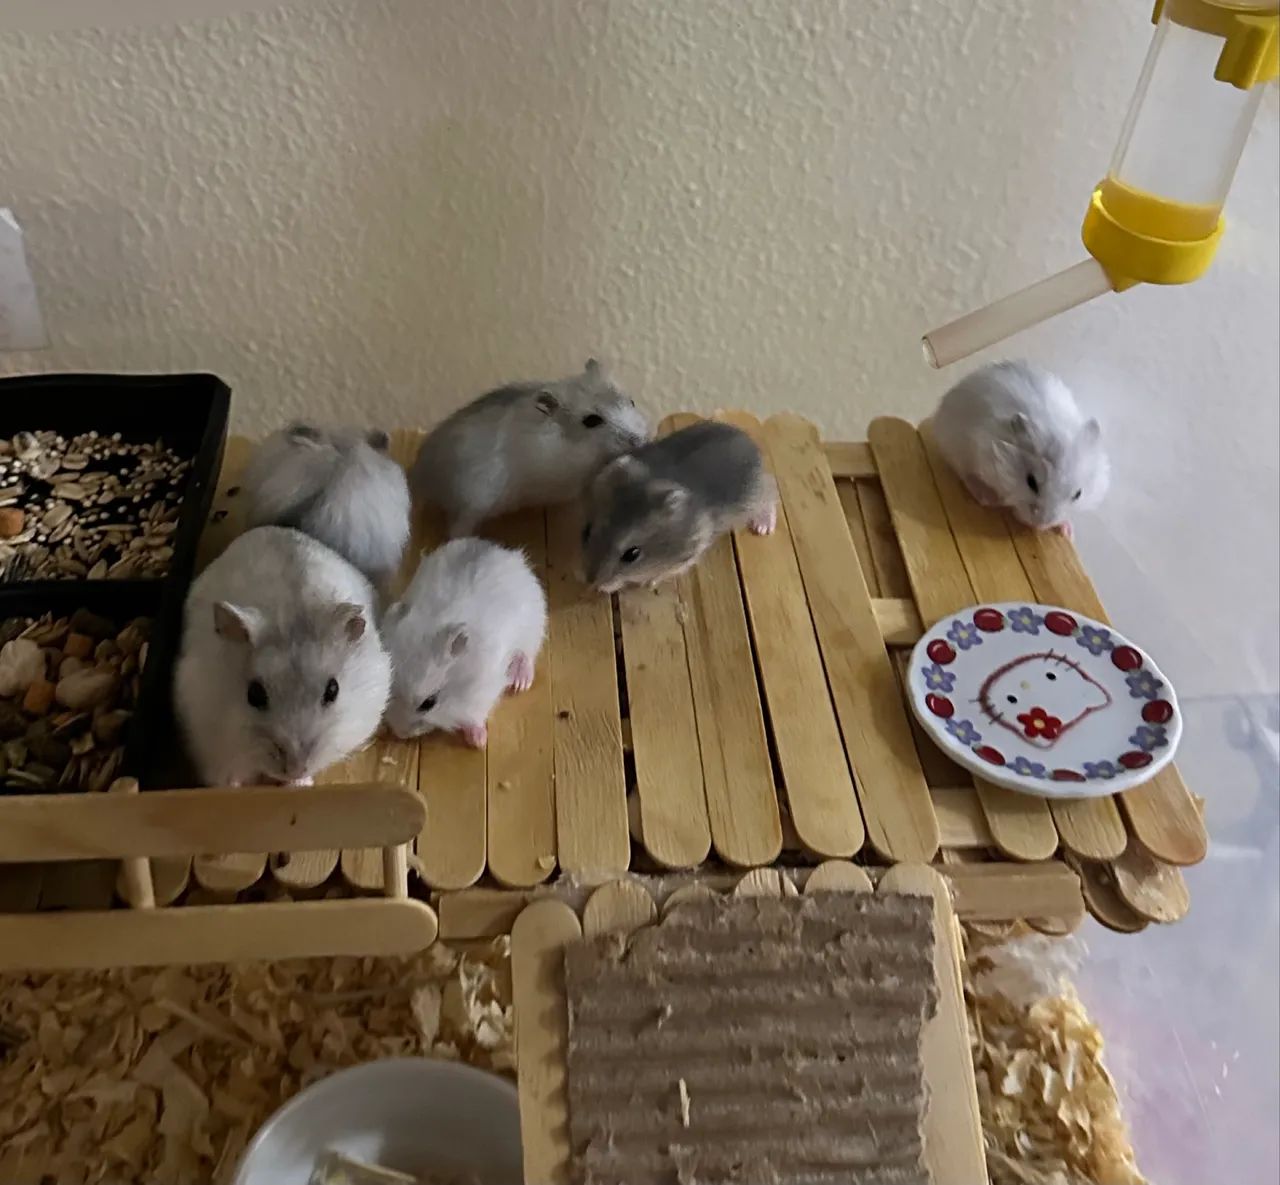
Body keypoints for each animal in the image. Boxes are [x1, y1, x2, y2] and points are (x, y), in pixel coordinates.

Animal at [174, 525, 391, 787]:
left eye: (333, 690)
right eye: (254, 694)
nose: (295, 769)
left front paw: (299, 784)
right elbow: (228, 776)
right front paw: (233, 787)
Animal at [381, 537, 547, 748]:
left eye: (429, 703)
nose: (400, 734)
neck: (461, 682)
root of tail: (502, 551)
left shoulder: (483, 693)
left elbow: (475, 717)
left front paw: (478, 742)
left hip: (533, 629)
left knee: (527, 657)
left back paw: (520, 683)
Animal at [580, 419, 777, 593]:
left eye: (632, 554)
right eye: (586, 532)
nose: (590, 582)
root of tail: (749, 441)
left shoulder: (690, 552)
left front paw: (648, 583)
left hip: (756, 496)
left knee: (771, 494)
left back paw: (763, 527)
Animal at [932, 360, 1109, 537]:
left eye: (1078, 494)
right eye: (1031, 482)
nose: (1040, 526)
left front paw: (1067, 532)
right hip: (954, 445)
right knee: (964, 474)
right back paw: (986, 497)